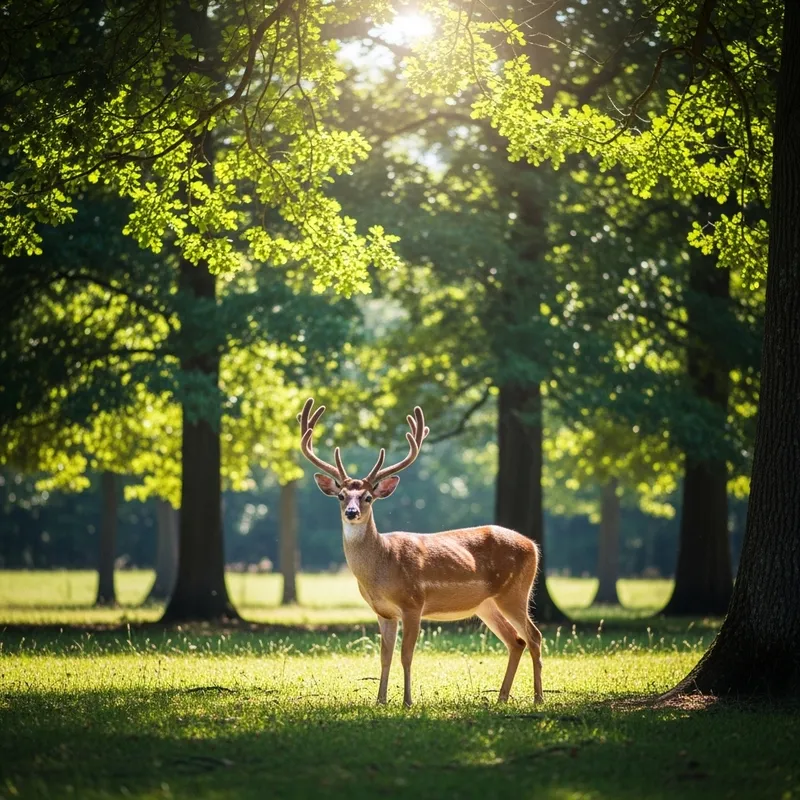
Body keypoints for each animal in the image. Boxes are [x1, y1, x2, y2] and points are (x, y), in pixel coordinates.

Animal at [298, 397, 544, 707]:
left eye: (368, 497)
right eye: (342, 496)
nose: (351, 512)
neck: (382, 567)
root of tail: (533, 546)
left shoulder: (413, 602)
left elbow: (407, 655)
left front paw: (407, 701)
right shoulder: (384, 612)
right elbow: (384, 657)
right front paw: (380, 701)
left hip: (514, 592)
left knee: (534, 636)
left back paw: (538, 698)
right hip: (486, 604)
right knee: (516, 641)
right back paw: (501, 697)